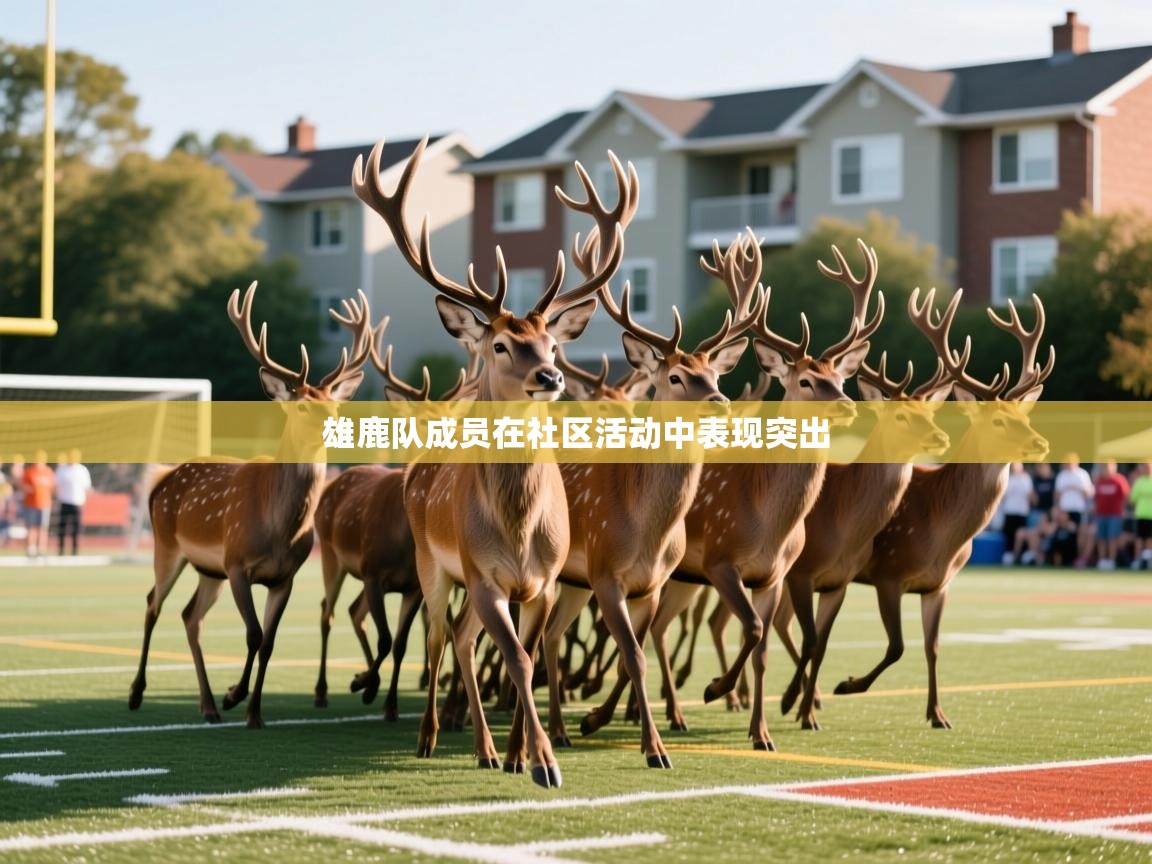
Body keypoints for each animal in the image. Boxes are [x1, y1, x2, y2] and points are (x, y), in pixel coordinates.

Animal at [129, 285, 373, 728]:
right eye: (302, 404)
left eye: (334, 404)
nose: (337, 425)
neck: (280, 529)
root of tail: (161, 482)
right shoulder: (238, 563)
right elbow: (254, 633)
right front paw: (235, 696)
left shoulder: (283, 577)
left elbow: (270, 642)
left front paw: (253, 713)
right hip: (168, 547)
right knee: (153, 603)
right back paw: (138, 694)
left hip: (209, 570)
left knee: (191, 617)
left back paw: (207, 706)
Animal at [352, 137, 634, 789]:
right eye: (501, 344)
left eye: (552, 343)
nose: (551, 376)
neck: (520, 529)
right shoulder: (484, 576)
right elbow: (518, 661)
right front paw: (545, 763)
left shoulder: (544, 582)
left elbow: (525, 658)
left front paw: (521, 754)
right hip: (432, 565)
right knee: (438, 638)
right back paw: (430, 736)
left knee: (460, 638)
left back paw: (487, 750)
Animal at [541, 229, 765, 768]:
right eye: (677, 377)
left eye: (716, 374)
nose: (722, 403)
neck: (647, 530)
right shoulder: (606, 573)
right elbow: (635, 656)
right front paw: (654, 748)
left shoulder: (652, 582)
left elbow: (634, 654)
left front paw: (599, 720)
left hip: (573, 580)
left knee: (550, 636)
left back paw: (558, 727)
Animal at [586, 237, 881, 751]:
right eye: (806, 380)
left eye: (841, 378)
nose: (848, 405)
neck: (768, 519)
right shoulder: (720, 559)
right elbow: (755, 629)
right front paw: (716, 689)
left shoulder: (774, 574)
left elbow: (761, 647)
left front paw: (760, 732)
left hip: (678, 578)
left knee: (650, 631)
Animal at [832, 289, 1052, 728]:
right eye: (997, 422)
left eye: (1023, 416)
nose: (1040, 444)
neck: (941, 532)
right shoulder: (889, 572)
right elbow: (897, 647)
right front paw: (847, 684)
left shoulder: (939, 584)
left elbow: (933, 647)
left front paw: (938, 714)